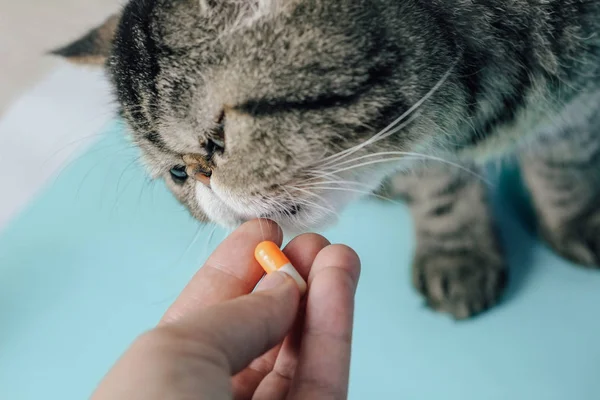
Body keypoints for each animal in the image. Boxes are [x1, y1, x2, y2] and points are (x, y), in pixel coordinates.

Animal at [52, 0, 600, 318]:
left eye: (219, 138)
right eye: (179, 173)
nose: (205, 178)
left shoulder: (581, 103)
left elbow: (564, 164)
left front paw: (575, 220)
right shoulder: (429, 153)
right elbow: (442, 193)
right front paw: (458, 251)